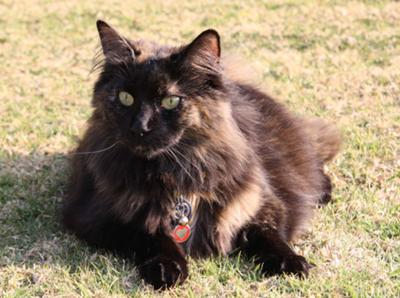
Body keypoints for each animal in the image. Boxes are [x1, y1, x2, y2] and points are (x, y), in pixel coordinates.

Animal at [61, 21, 340, 292]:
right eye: (125, 98)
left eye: (170, 101)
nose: (140, 127)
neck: (173, 173)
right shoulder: (97, 215)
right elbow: (150, 233)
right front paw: (167, 267)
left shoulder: (262, 202)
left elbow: (268, 235)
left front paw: (290, 262)